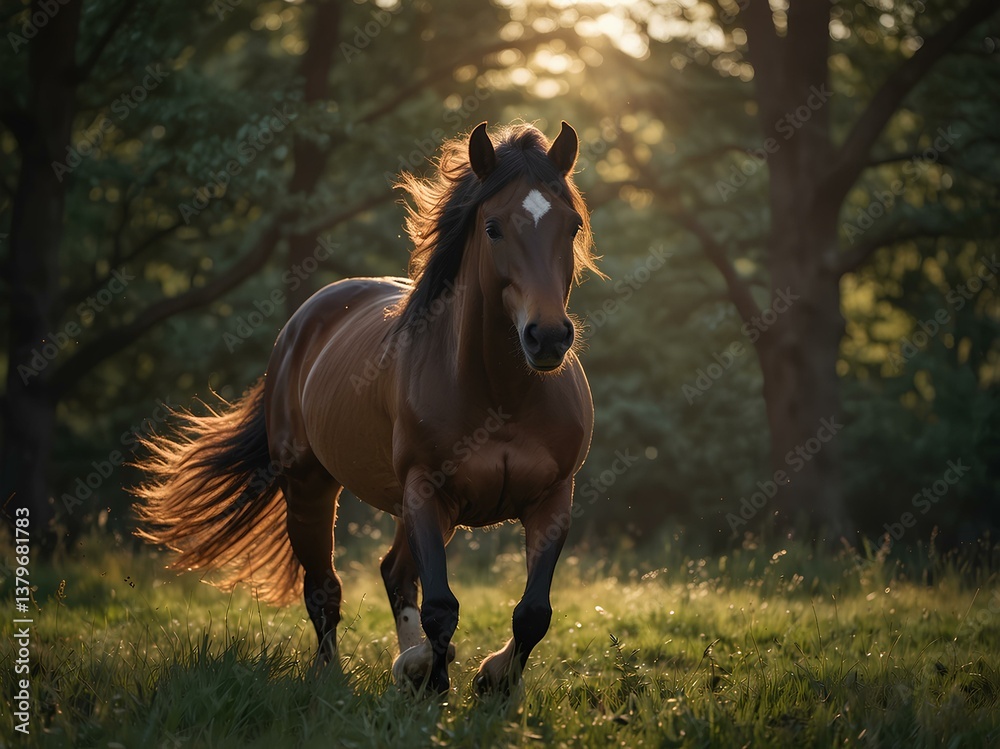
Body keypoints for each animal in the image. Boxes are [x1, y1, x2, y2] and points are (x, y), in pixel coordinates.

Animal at [134, 120, 600, 695]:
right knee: (325, 589)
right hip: (310, 487)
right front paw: (437, 687)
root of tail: (301, 324)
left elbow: (533, 612)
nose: (548, 337)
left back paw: (409, 663)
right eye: (492, 228)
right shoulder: (425, 490)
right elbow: (441, 607)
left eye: (572, 226)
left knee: (394, 573)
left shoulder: (553, 498)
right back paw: (334, 676)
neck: (502, 396)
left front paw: (494, 682)